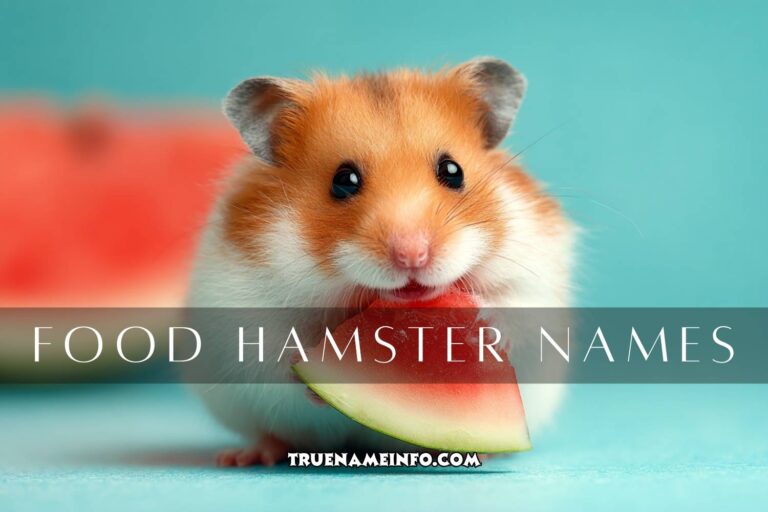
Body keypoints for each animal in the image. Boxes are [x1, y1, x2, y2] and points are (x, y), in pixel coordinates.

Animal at [187, 57, 575, 466]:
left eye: (453, 171)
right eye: (344, 181)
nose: (412, 255)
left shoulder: (533, 270)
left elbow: (518, 309)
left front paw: (485, 328)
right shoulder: (241, 303)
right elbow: (272, 355)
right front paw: (311, 376)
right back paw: (245, 455)